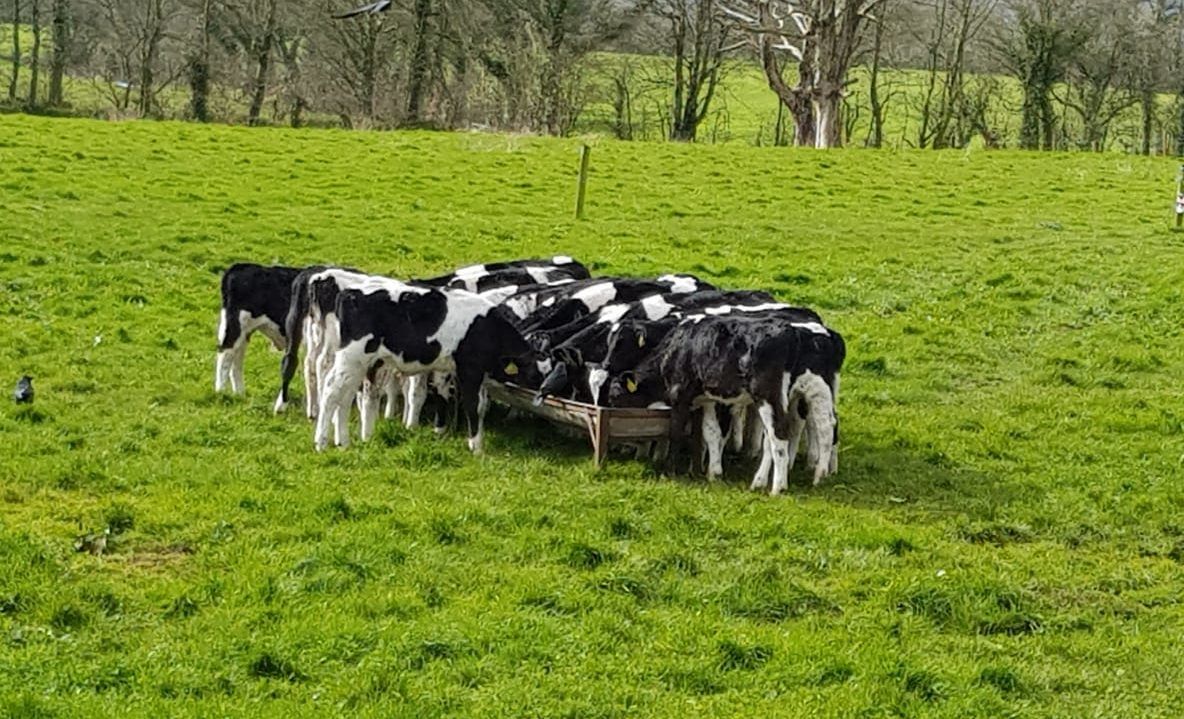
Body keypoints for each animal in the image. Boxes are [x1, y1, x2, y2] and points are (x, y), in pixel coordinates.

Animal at [216, 262, 303, 394]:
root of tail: (239, 266)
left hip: (245, 331)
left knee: (236, 360)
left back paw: (239, 394)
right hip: (236, 324)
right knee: (225, 355)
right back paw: (220, 392)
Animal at [314, 279, 535, 454]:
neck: (487, 328)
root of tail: (349, 291)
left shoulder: (450, 370)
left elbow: (454, 398)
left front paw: (441, 432)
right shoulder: (470, 370)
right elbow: (472, 406)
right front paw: (476, 447)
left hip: (360, 363)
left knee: (345, 396)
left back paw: (343, 442)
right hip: (351, 357)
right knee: (331, 391)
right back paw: (321, 443)